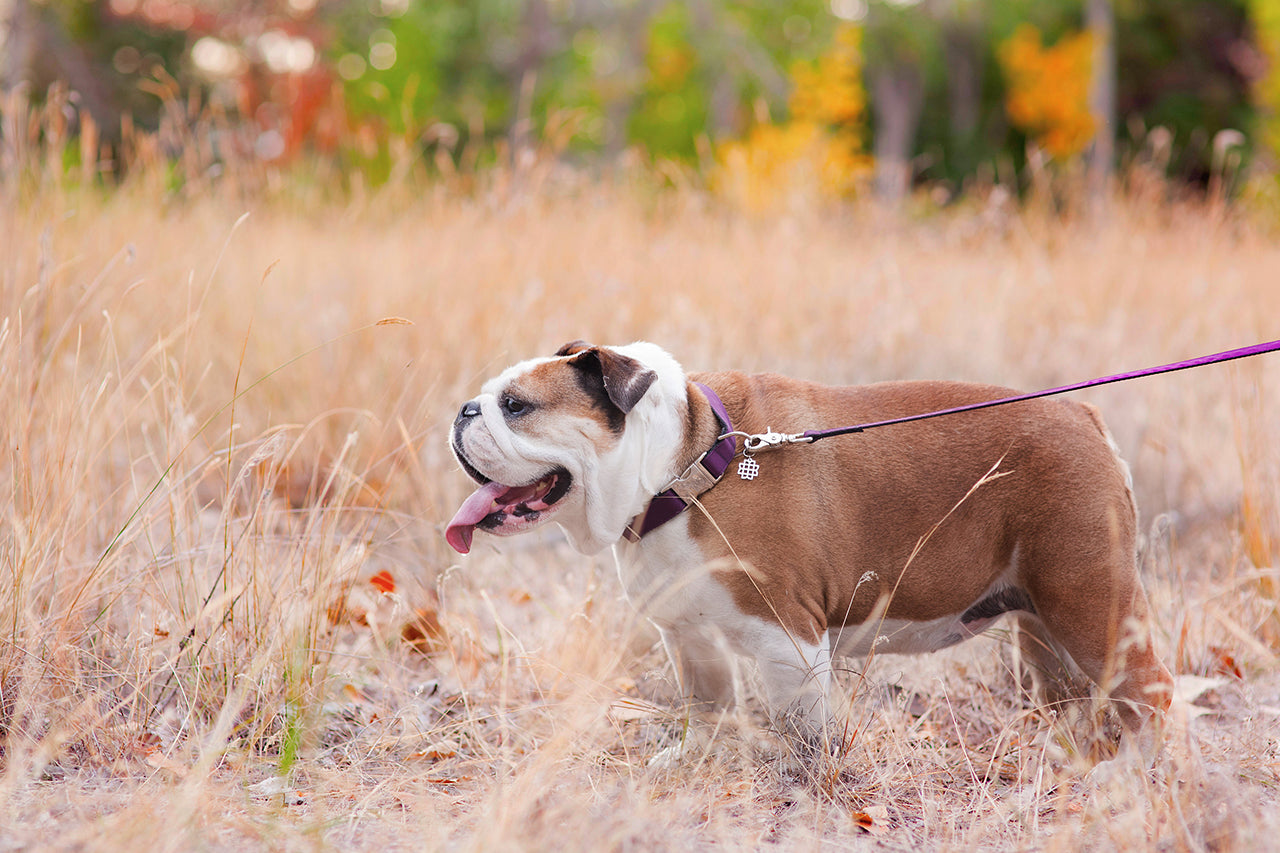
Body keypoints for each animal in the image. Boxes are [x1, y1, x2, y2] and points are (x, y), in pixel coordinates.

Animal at [445, 343, 1172, 747]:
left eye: (516, 405)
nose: (463, 410)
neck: (683, 467)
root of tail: (1084, 415)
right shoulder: (693, 641)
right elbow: (708, 710)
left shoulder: (786, 639)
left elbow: (805, 730)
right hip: (1043, 631)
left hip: (1092, 605)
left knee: (1152, 694)